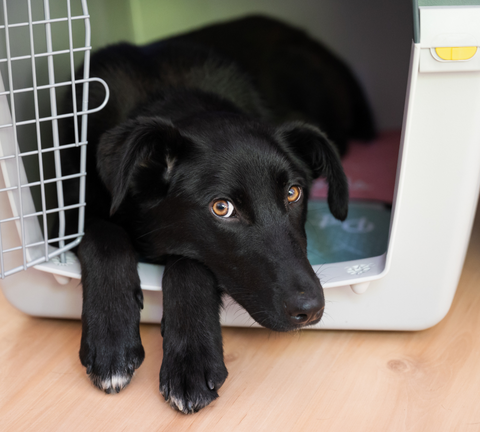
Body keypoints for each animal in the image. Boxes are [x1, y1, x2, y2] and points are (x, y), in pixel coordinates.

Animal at [61, 15, 376, 414]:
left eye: (293, 193)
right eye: (222, 207)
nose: (310, 309)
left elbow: (189, 264)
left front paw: (191, 361)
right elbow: (104, 237)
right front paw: (112, 337)